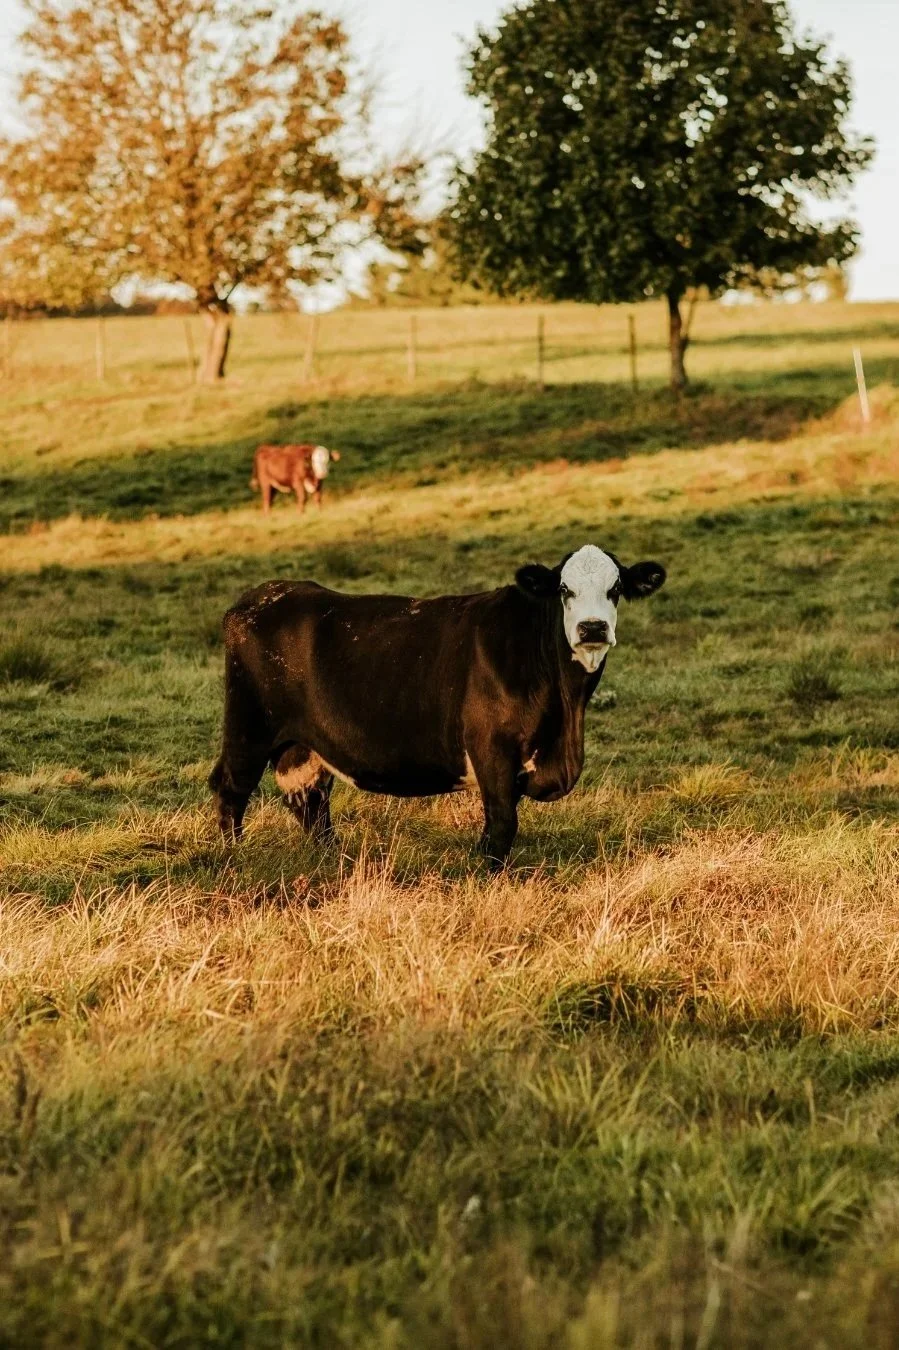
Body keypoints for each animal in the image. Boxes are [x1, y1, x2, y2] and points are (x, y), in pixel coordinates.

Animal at [209, 545, 666, 865]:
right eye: (564, 590)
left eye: (616, 589)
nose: (593, 628)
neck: (566, 712)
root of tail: (263, 595)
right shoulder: (490, 749)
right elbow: (502, 825)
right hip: (248, 727)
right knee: (231, 788)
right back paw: (235, 858)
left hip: (302, 746)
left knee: (310, 801)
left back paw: (333, 860)